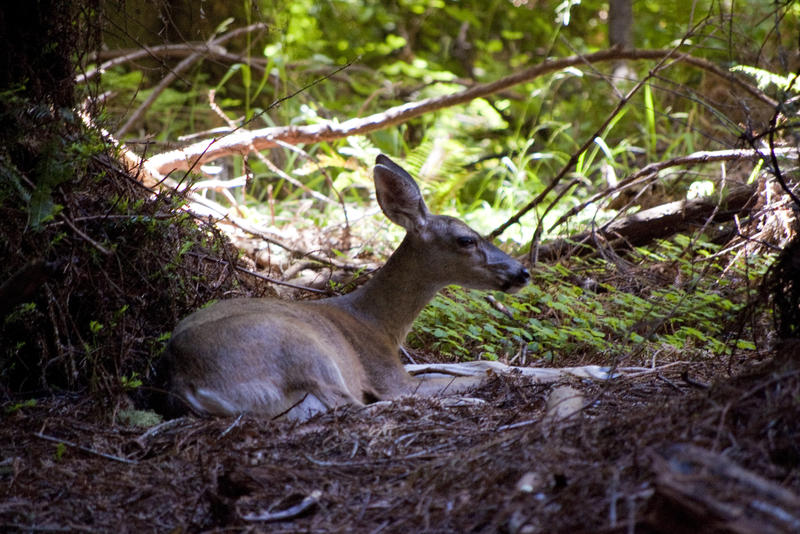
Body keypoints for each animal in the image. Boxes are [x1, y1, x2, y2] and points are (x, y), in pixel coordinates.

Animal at [168, 155, 532, 422]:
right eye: (466, 240)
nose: (523, 272)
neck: (380, 324)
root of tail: (185, 381)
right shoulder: (384, 372)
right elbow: (472, 376)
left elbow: (483, 365)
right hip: (304, 350)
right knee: (355, 406)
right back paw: (470, 404)